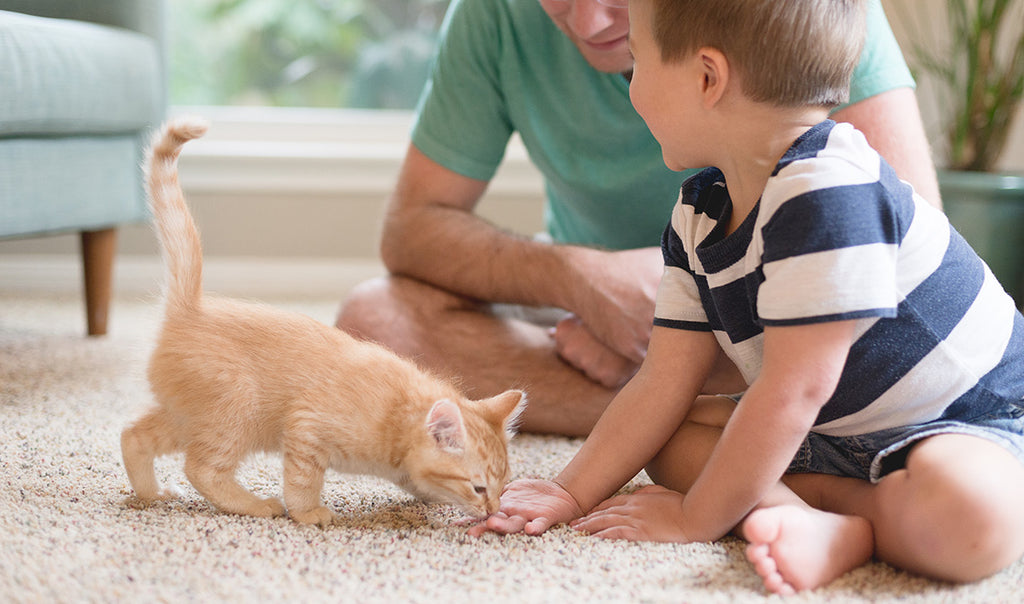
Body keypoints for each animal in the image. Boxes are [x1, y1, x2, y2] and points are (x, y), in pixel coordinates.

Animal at [121, 118, 528, 524]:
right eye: (478, 487)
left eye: (503, 484)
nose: (493, 508)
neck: (397, 413)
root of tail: (190, 309)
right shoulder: (305, 427)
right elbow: (302, 480)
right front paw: (309, 512)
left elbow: (416, 481)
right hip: (235, 414)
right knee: (201, 468)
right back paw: (255, 505)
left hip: (190, 417)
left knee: (133, 434)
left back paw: (151, 493)